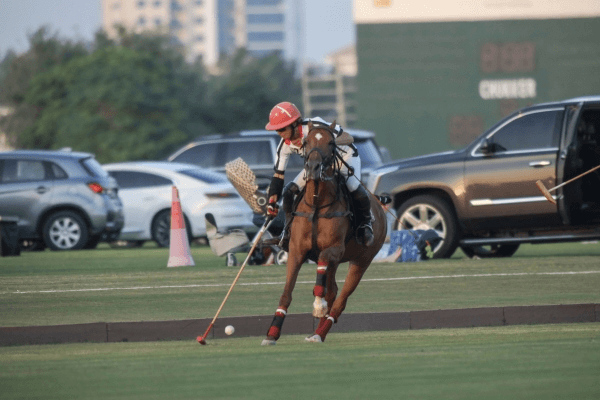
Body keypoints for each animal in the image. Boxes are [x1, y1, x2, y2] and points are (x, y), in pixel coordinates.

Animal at [262, 120, 390, 346]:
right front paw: (272, 334)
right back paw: (317, 330)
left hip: (362, 261)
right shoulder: (296, 250)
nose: (313, 167)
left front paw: (318, 306)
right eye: (306, 143)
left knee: (340, 300)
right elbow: (286, 293)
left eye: (331, 143)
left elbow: (321, 267)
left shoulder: (334, 249)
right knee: (333, 291)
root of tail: (378, 202)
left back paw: (319, 333)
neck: (316, 203)